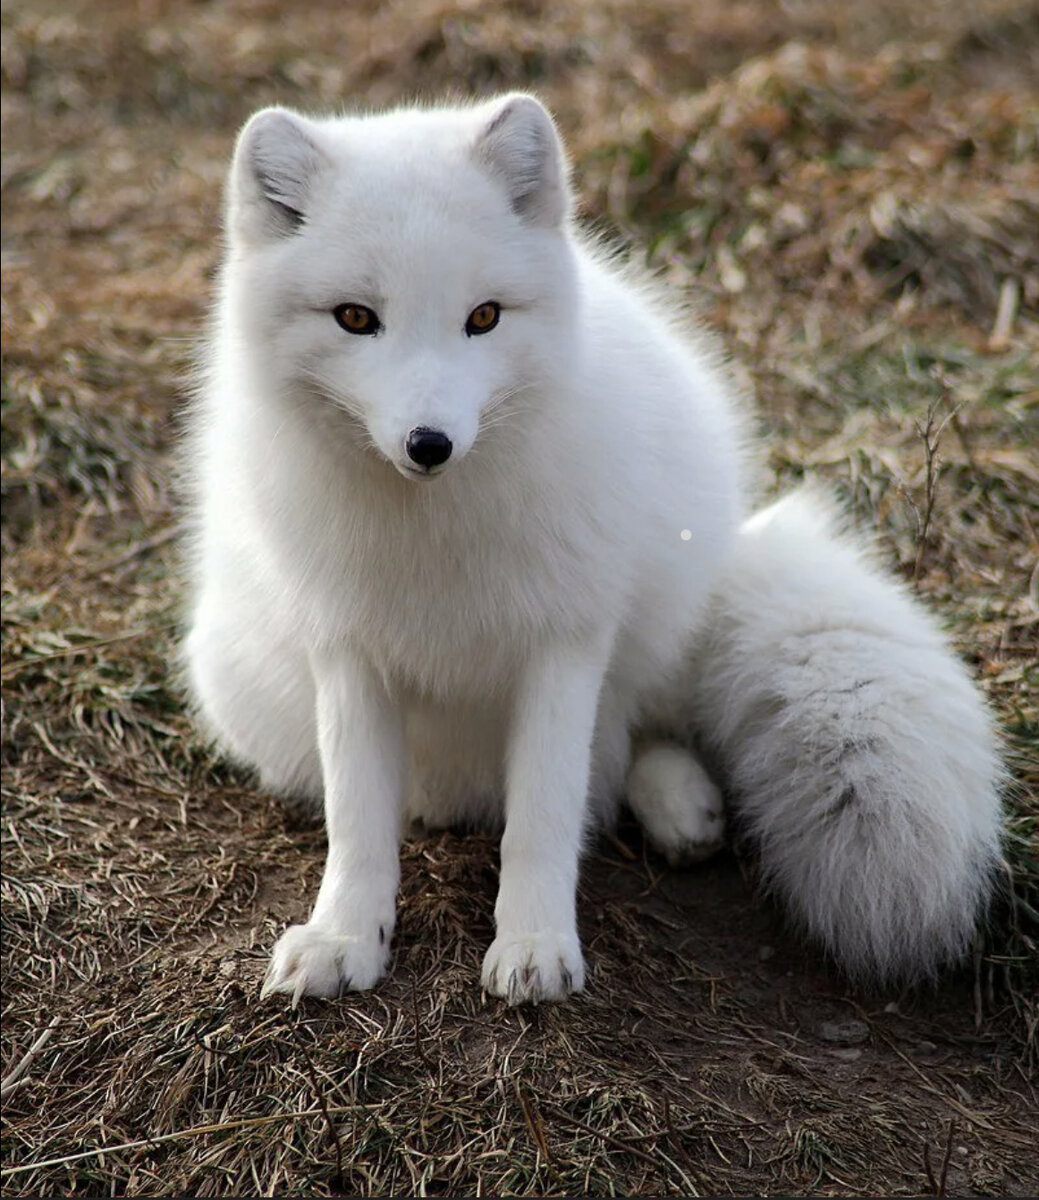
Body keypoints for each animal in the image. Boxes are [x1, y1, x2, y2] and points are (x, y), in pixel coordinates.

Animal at [182, 91, 998, 1003]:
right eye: (356, 318)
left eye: (483, 318)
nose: (430, 444)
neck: (434, 532)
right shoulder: (347, 651)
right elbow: (358, 821)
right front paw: (345, 937)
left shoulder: (565, 641)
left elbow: (543, 813)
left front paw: (535, 944)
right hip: (231, 682)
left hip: (660, 625)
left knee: (628, 743)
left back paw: (682, 809)